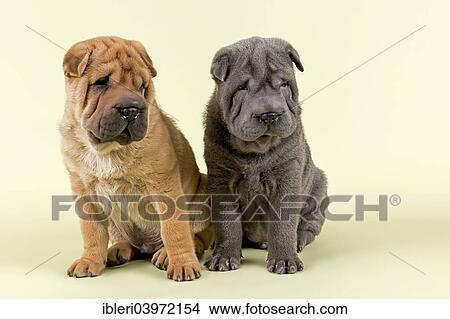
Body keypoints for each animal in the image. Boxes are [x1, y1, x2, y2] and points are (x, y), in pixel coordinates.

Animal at [59, 37, 213, 282]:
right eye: (101, 83)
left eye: (141, 86)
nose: (131, 109)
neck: (108, 149)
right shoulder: (84, 191)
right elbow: (92, 232)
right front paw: (89, 261)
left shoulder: (164, 185)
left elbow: (175, 230)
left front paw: (182, 264)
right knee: (126, 241)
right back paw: (117, 251)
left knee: (196, 237)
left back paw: (166, 254)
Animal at [204, 36, 326, 274]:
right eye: (242, 88)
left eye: (284, 85)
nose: (270, 114)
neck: (255, 150)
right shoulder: (221, 179)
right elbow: (227, 223)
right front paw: (223, 257)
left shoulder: (287, 174)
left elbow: (283, 224)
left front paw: (285, 260)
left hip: (319, 188)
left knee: (309, 226)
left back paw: (297, 240)